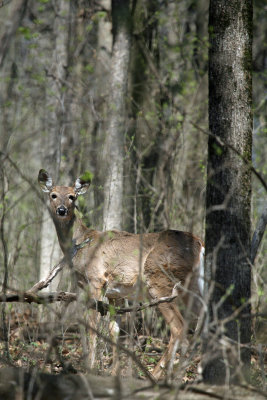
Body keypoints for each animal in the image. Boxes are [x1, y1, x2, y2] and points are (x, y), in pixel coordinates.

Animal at [37, 170, 205, 382]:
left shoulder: (96, 281)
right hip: (193, 285)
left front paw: (90, 369)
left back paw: (157, 375)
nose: (61, 210)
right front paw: (113, 373)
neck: (80, 245)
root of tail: (199, 243)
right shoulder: (115, 294)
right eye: (53, 195)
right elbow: (114, 331)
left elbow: (93, 328)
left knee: (179, 327)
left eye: (72, 196)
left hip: (159, 280)